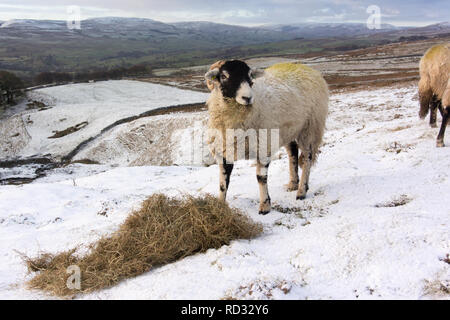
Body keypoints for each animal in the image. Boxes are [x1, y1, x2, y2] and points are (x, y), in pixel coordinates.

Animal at [204, 60, 326, 215]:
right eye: (224, 76)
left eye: (250, 76)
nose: (247, 98)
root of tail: (305, 67)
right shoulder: (225, 151)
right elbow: (223, 182)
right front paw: (220, 206)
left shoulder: (263, 146)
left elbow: (261, 178)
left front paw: (265, 206)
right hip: (289, 129)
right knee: (293, 153)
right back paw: (293, 184)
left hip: (309, 127)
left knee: (307, 158)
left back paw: (302, 191)